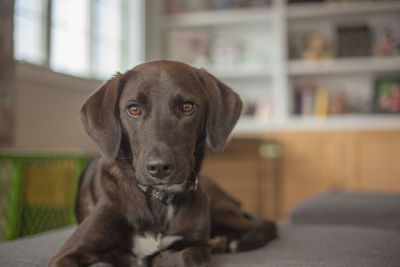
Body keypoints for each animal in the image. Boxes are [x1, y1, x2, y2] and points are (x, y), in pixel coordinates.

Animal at [49, 61, 276, 267]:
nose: (159, 168)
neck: (160, 199)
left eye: (187, 107)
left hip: (217, 208)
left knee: (267, 223)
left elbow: (191, 255)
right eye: (133, 109)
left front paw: (161, 258)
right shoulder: (66, 254)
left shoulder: (197, 242)